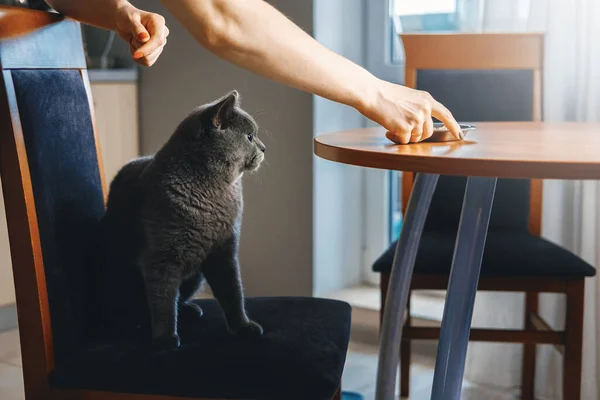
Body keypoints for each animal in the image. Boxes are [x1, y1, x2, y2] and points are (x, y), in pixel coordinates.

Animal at [98, 90, 264, 350]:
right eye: (249, 136)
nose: (265, 148)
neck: (215, 194)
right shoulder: (160, 258)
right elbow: (163, 300)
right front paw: (165, 339)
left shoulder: (224, 250)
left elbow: (233, 291)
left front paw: (242, 326)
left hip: (196, 276)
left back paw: (189, 310)